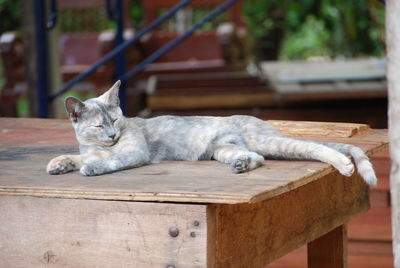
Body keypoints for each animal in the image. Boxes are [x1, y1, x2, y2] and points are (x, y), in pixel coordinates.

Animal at [47, 79, 378, 185]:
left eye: (115, 120)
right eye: (99, 125)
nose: (112, 135)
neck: (100, 146)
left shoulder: (133, 151)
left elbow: (110, 161)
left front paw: (92, 167)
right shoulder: (91, 148)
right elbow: (77, 156)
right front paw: (60, 163)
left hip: (271, 141)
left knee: (318, 147)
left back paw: (345, 165)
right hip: (223, 149)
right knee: (256, 157)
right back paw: (242, 164)